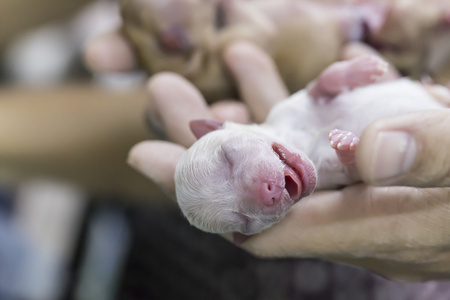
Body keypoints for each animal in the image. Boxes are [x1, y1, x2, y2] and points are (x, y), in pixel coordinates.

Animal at [173, 55, 446, 236]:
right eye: (243, 221)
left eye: (227, 156)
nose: (269, 192)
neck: (308, 141)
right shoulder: (335, 176)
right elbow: (354, 169)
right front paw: (347, 147)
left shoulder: (295, 104)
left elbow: (321, 84)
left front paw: (362, 68)